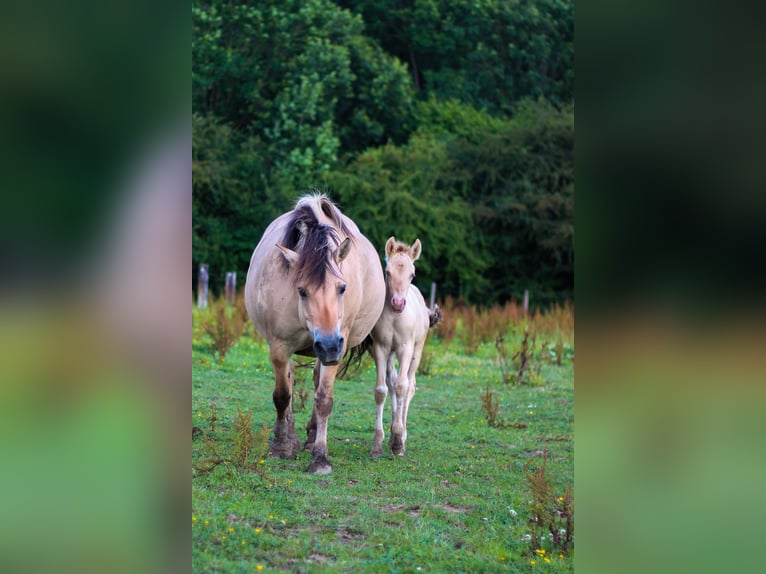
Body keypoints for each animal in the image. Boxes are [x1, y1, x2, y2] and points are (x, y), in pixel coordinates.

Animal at [249, 196, 388, 474]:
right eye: (301, 290)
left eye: (342, 288)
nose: (329, 346)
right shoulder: (279, 346)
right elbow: (282, 396)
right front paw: (281, 447)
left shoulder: (336, 347)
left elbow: (323, 399)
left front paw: (320, 457)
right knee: (290, 382)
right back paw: (291, 437)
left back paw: (311, 436)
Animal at [372, 236, 438, 456]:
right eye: (387, 271)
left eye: (412, 274)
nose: (398, 303)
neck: (394, 317)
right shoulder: (380, 348)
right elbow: (382, 389)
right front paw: (378, 443)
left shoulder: (405, 348)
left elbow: (403, 386)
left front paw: (399, 443)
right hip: (391, 353)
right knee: (391, 381)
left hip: (416, 351)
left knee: (409, 385)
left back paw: (401, 435)